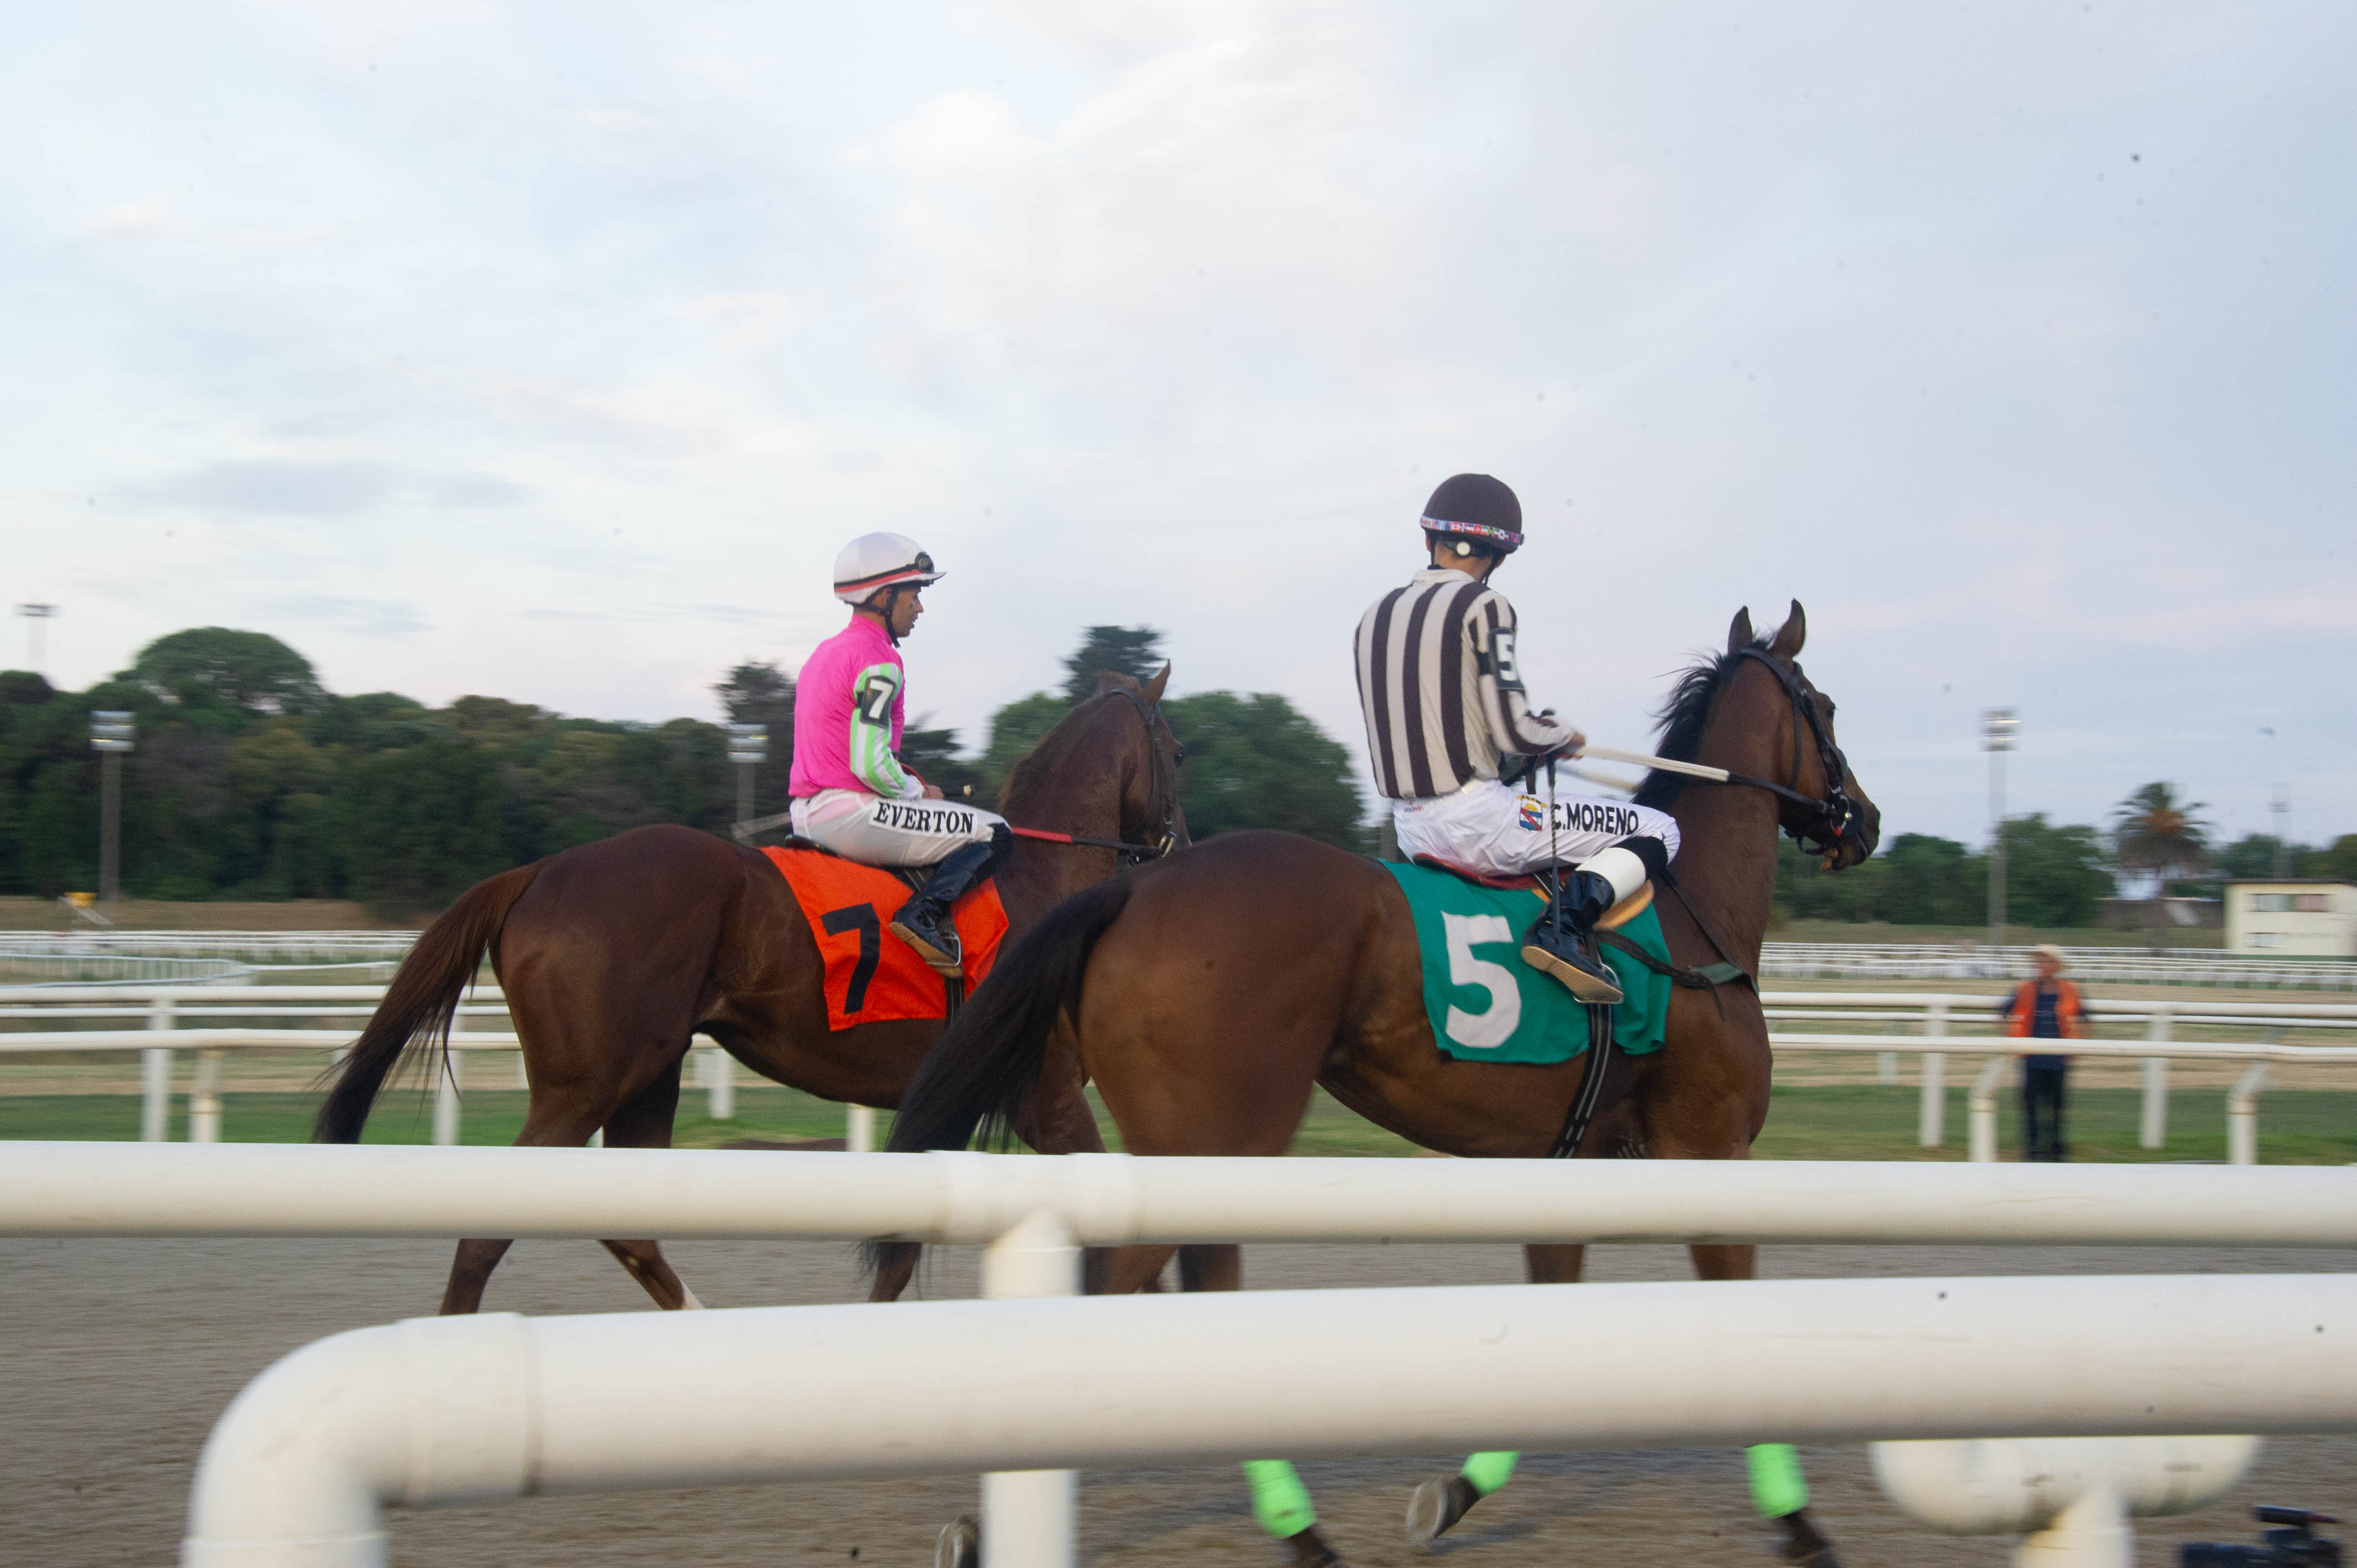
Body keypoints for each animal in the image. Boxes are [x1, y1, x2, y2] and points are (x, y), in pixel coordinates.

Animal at [313, 666, 1188, 1315]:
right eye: (1177, 749)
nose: (1180, 842)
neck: (1039, 886)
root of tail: (538, 873)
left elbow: (900, 1255)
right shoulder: (1047, 1097)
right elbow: (1138, 1242)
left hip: (646, 1076)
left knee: (628, 1228)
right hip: (585, 1084)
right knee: (487, 1234)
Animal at [877, 604, 1880, 1567]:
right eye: (1825, 707)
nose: (1862, 822)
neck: (1688, 914)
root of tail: (1133, 890)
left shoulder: (1571, 1161)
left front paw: (1457, 1492)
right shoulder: (1710, 1144)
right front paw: (1801, 1523)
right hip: (1217, 1138)